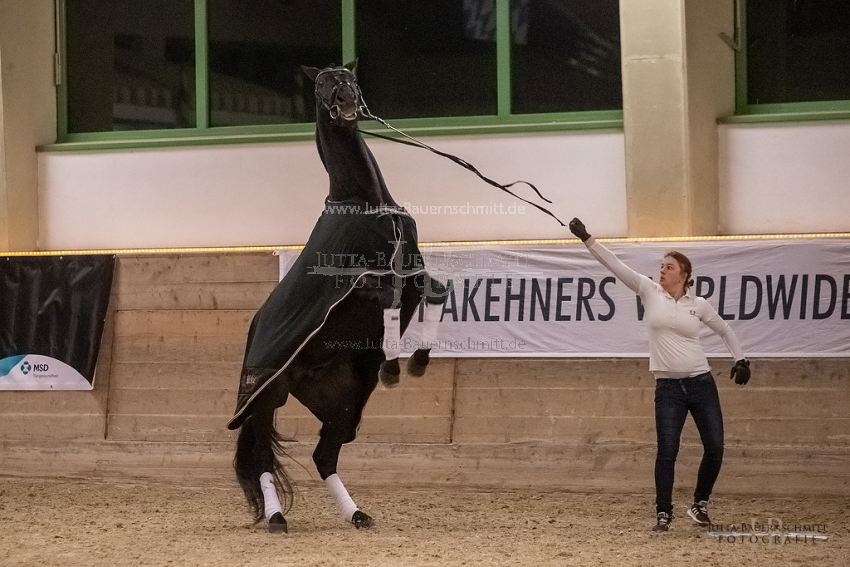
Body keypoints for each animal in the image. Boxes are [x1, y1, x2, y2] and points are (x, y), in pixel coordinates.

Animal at [229, 61, 448, 532]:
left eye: (350, 80)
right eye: (321, 85)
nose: (347, 104)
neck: (366, 203)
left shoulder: (413, 272)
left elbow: (439, 291)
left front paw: (417, 361)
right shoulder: (366, 283)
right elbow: (388, 301)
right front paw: (393, 366)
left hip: (342, 405)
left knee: (324, 456)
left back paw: (357, 514)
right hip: (264, 399)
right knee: (261, 460)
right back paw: (277, 519)